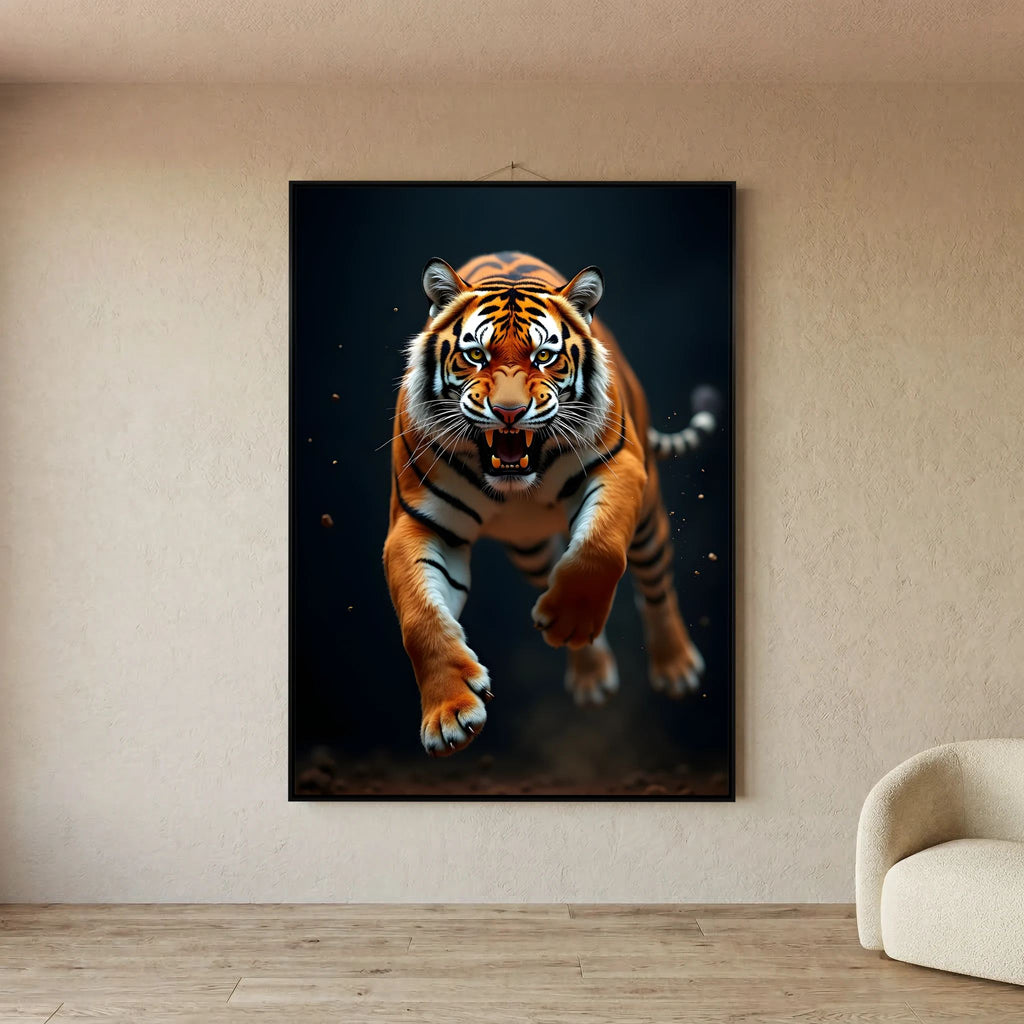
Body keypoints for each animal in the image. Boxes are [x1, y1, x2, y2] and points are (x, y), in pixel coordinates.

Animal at [383, 251, 719, 756]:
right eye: (476, 354)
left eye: (544, 356)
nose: (508, 412)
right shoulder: (417, 523)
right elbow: (419, 619)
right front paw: (449, 716)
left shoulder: (620, 468)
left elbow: (600, 549)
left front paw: (571, 620)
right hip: (528, 548)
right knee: (553, 569)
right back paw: (590, 675)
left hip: (648, 522)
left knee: (655, 585)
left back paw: (675, 667)